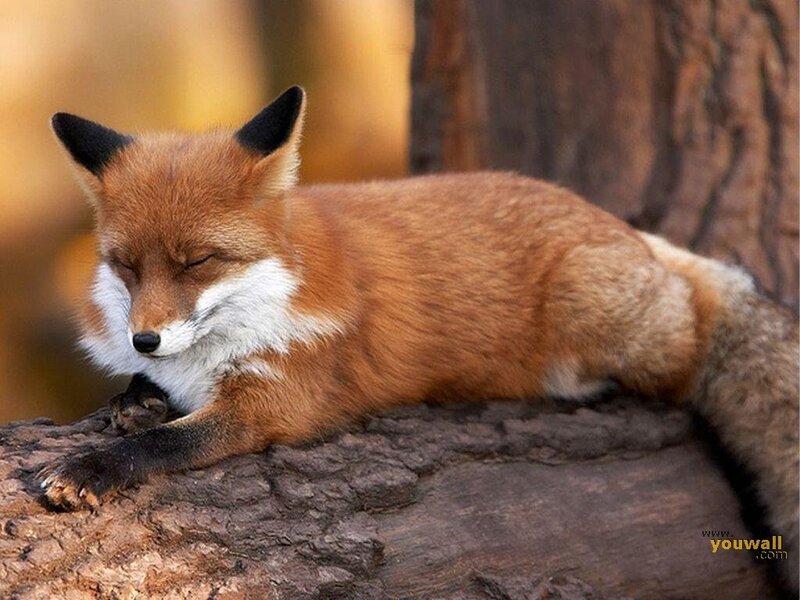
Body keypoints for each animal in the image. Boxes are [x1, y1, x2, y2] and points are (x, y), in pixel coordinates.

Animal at [40, 86, 798, 589]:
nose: (144, 339)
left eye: (197, 261)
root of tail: (625, 228)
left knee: (690, 347)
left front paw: (92, 468)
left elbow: (165, 443)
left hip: (600, 312)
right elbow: (146, 403)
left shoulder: (274, 404)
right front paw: (135, 394)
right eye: (126, 266)